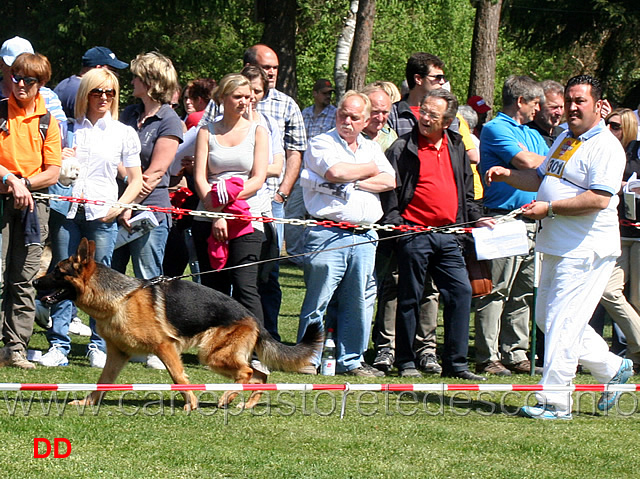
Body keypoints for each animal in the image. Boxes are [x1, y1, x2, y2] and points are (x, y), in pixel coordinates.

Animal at [33, 238, 322, 410]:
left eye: (57, 272)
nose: (34, 282)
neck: (120, 298)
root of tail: (253, 318)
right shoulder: (118, 354)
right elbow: (103, 382)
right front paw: (87, 402)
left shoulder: (164, 346)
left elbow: (178, 376)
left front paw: (190, 404)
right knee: (262, 376)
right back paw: (246, 404)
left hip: (212, 355)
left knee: (249, 373)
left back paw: (227, 397)